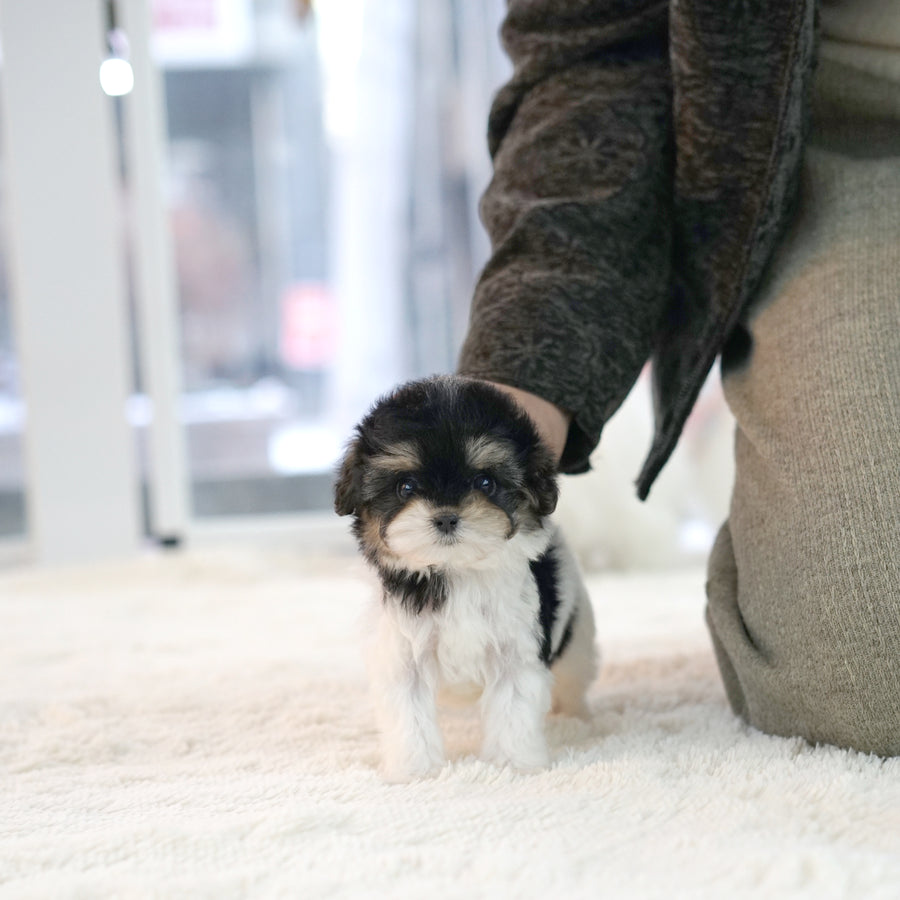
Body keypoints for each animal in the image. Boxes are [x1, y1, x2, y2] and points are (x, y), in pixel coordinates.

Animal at [332, 374, 596, 780]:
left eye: (485, 483)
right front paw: (414, 770)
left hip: (577, 634)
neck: (456, 569)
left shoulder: (516, 650)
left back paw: (577, 718)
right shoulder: (402, 654)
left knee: (573, 676)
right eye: (406, 487)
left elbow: (513, 709)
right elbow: (409, 715)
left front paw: (514, 765)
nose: (445, 517)